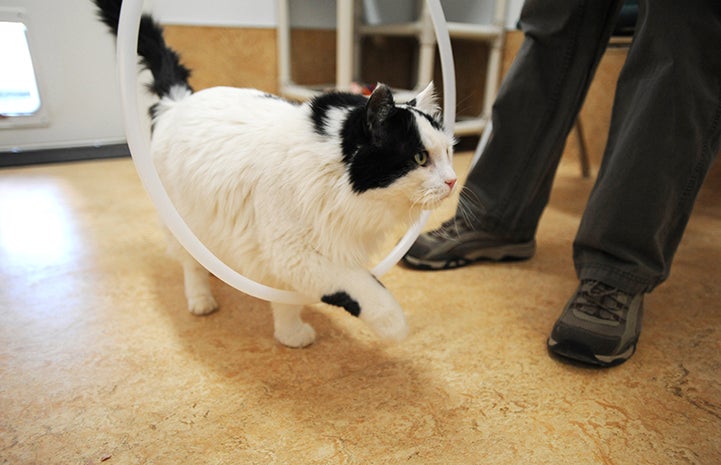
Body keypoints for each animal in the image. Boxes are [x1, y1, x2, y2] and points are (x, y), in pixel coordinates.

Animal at [94, 0, 456, 346]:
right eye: (420, 157)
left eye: (449, 152)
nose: (453, 181)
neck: (334, 178)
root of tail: (177, 102)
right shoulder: (293, 253)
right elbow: (362, 286)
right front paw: (394, 324)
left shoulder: (287, 258)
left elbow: (287, 300)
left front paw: (289, 335)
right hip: (181, 220)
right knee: (189, 264)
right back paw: (201, 300)